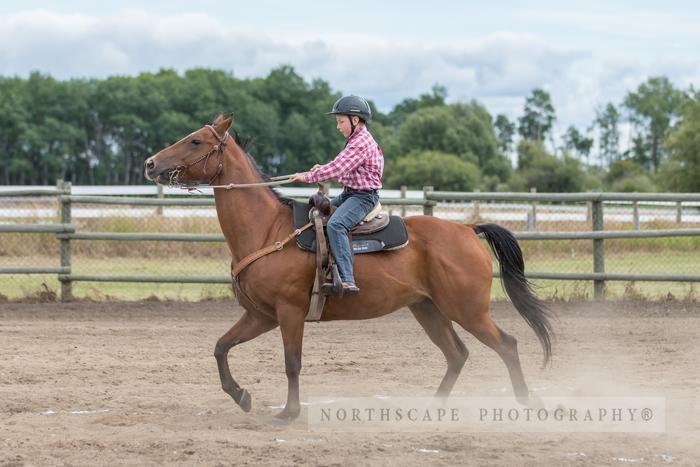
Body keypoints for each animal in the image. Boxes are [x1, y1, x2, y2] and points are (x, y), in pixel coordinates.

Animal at [145, 115, 556, 422]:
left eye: (196, 141)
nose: (151, 164)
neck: (267, 229)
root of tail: (467, 229)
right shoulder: (261, 315)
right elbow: (221, 347)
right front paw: (241, 396)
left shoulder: (289, 312)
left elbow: (292, 362)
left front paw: (289, 412)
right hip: (427, 309)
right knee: (457, 354)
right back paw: (434, 408)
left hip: (467, 310)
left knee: (507, 345)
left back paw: (528, 402)